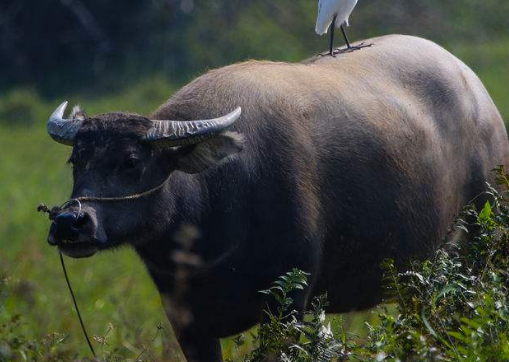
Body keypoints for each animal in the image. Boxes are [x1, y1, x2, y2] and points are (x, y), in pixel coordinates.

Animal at [45, 34, 508, 362]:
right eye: (75, 160)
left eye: (130, 161)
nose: (71, 223)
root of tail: (481, 98)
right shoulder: (186, 321)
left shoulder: (288, 303)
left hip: (478, 250)